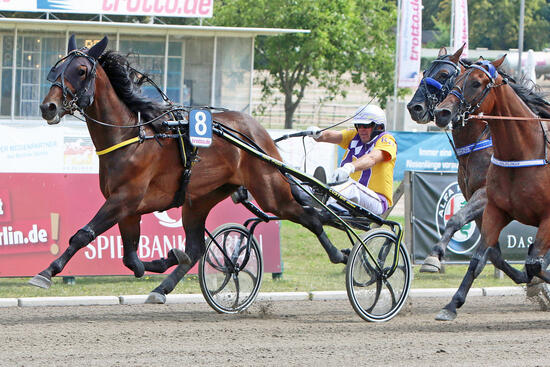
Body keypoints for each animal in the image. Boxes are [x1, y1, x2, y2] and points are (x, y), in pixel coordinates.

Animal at [34, 36, 348, 304]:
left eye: (81, 70)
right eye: (57, 68)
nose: (48, 107)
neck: (131, 136)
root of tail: (258, 132)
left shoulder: (125, 200)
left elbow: (84, 235)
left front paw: (46, 272)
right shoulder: (127, 207)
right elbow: (132, 260)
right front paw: (168, 258)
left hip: (271, 192)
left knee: (310, 217)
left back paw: (342, 255)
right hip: (199, 199)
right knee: (196, 248)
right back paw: (162, 287)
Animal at [438, 56, 550, 320]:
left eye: (477, 83)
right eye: (456, 79)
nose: (442, 112)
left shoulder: (547, 218)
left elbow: (534, 264)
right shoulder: (495, 210)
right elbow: (481, 257)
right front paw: (452, 305)